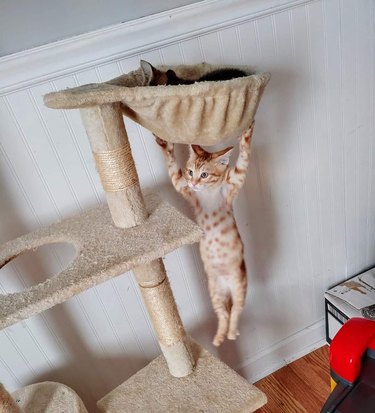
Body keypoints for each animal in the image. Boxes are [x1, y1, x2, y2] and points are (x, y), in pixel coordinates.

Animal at [156, 121, 256, 344]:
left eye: (204, 174)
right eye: (190, 171)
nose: (194, 183)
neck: (208, 194)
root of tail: (226, 288)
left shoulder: (234, 182)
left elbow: (244, 159)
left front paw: (246, 133)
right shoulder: (185, 188)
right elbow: (173, 172)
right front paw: (166, 146)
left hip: (239, 285)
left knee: (236, 311)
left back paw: (232, 333)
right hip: (215, 292)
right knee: (224, 313)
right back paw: (220, 337)